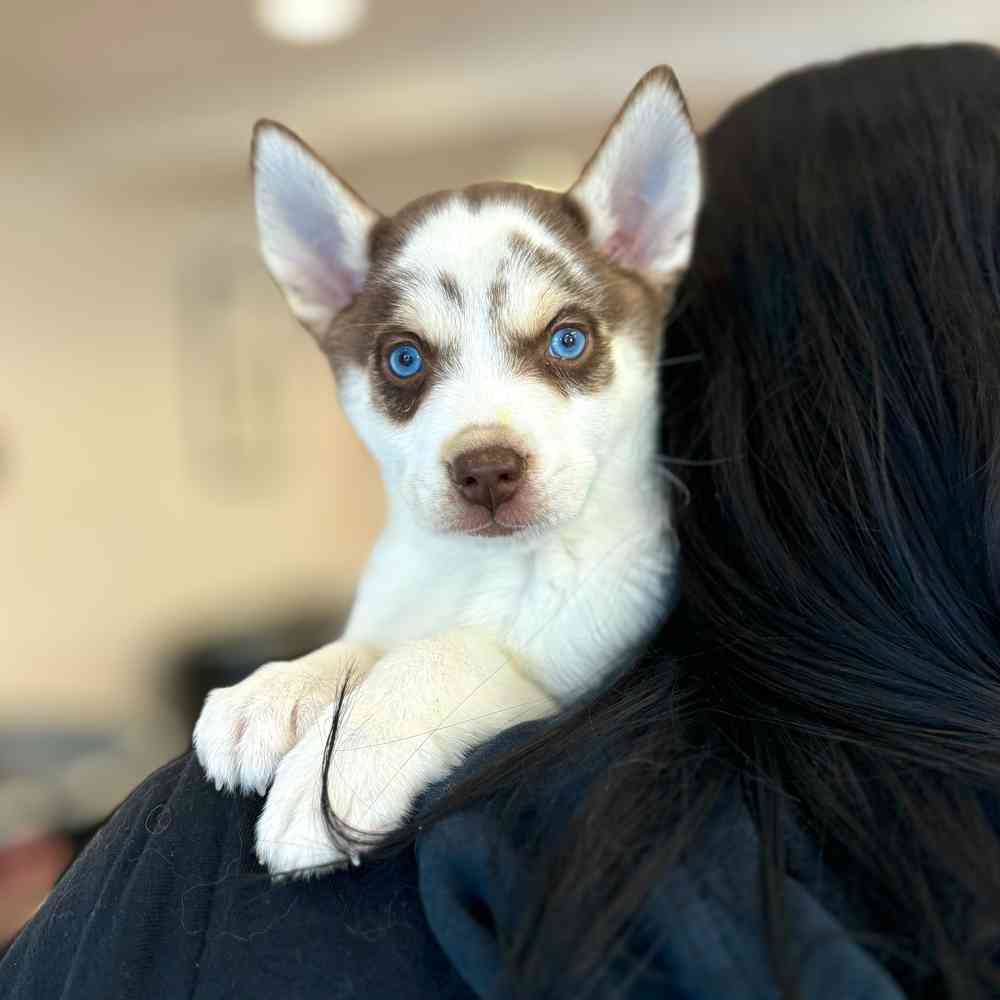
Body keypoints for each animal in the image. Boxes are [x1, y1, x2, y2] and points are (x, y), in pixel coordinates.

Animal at [191, 64, 700, 876]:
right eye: (405, 359)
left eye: (568, 340)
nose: (487, 470)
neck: (480, 570)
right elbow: (366, 644)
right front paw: (282, 684)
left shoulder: (576, 676)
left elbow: (443, 653)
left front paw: (343, 765)